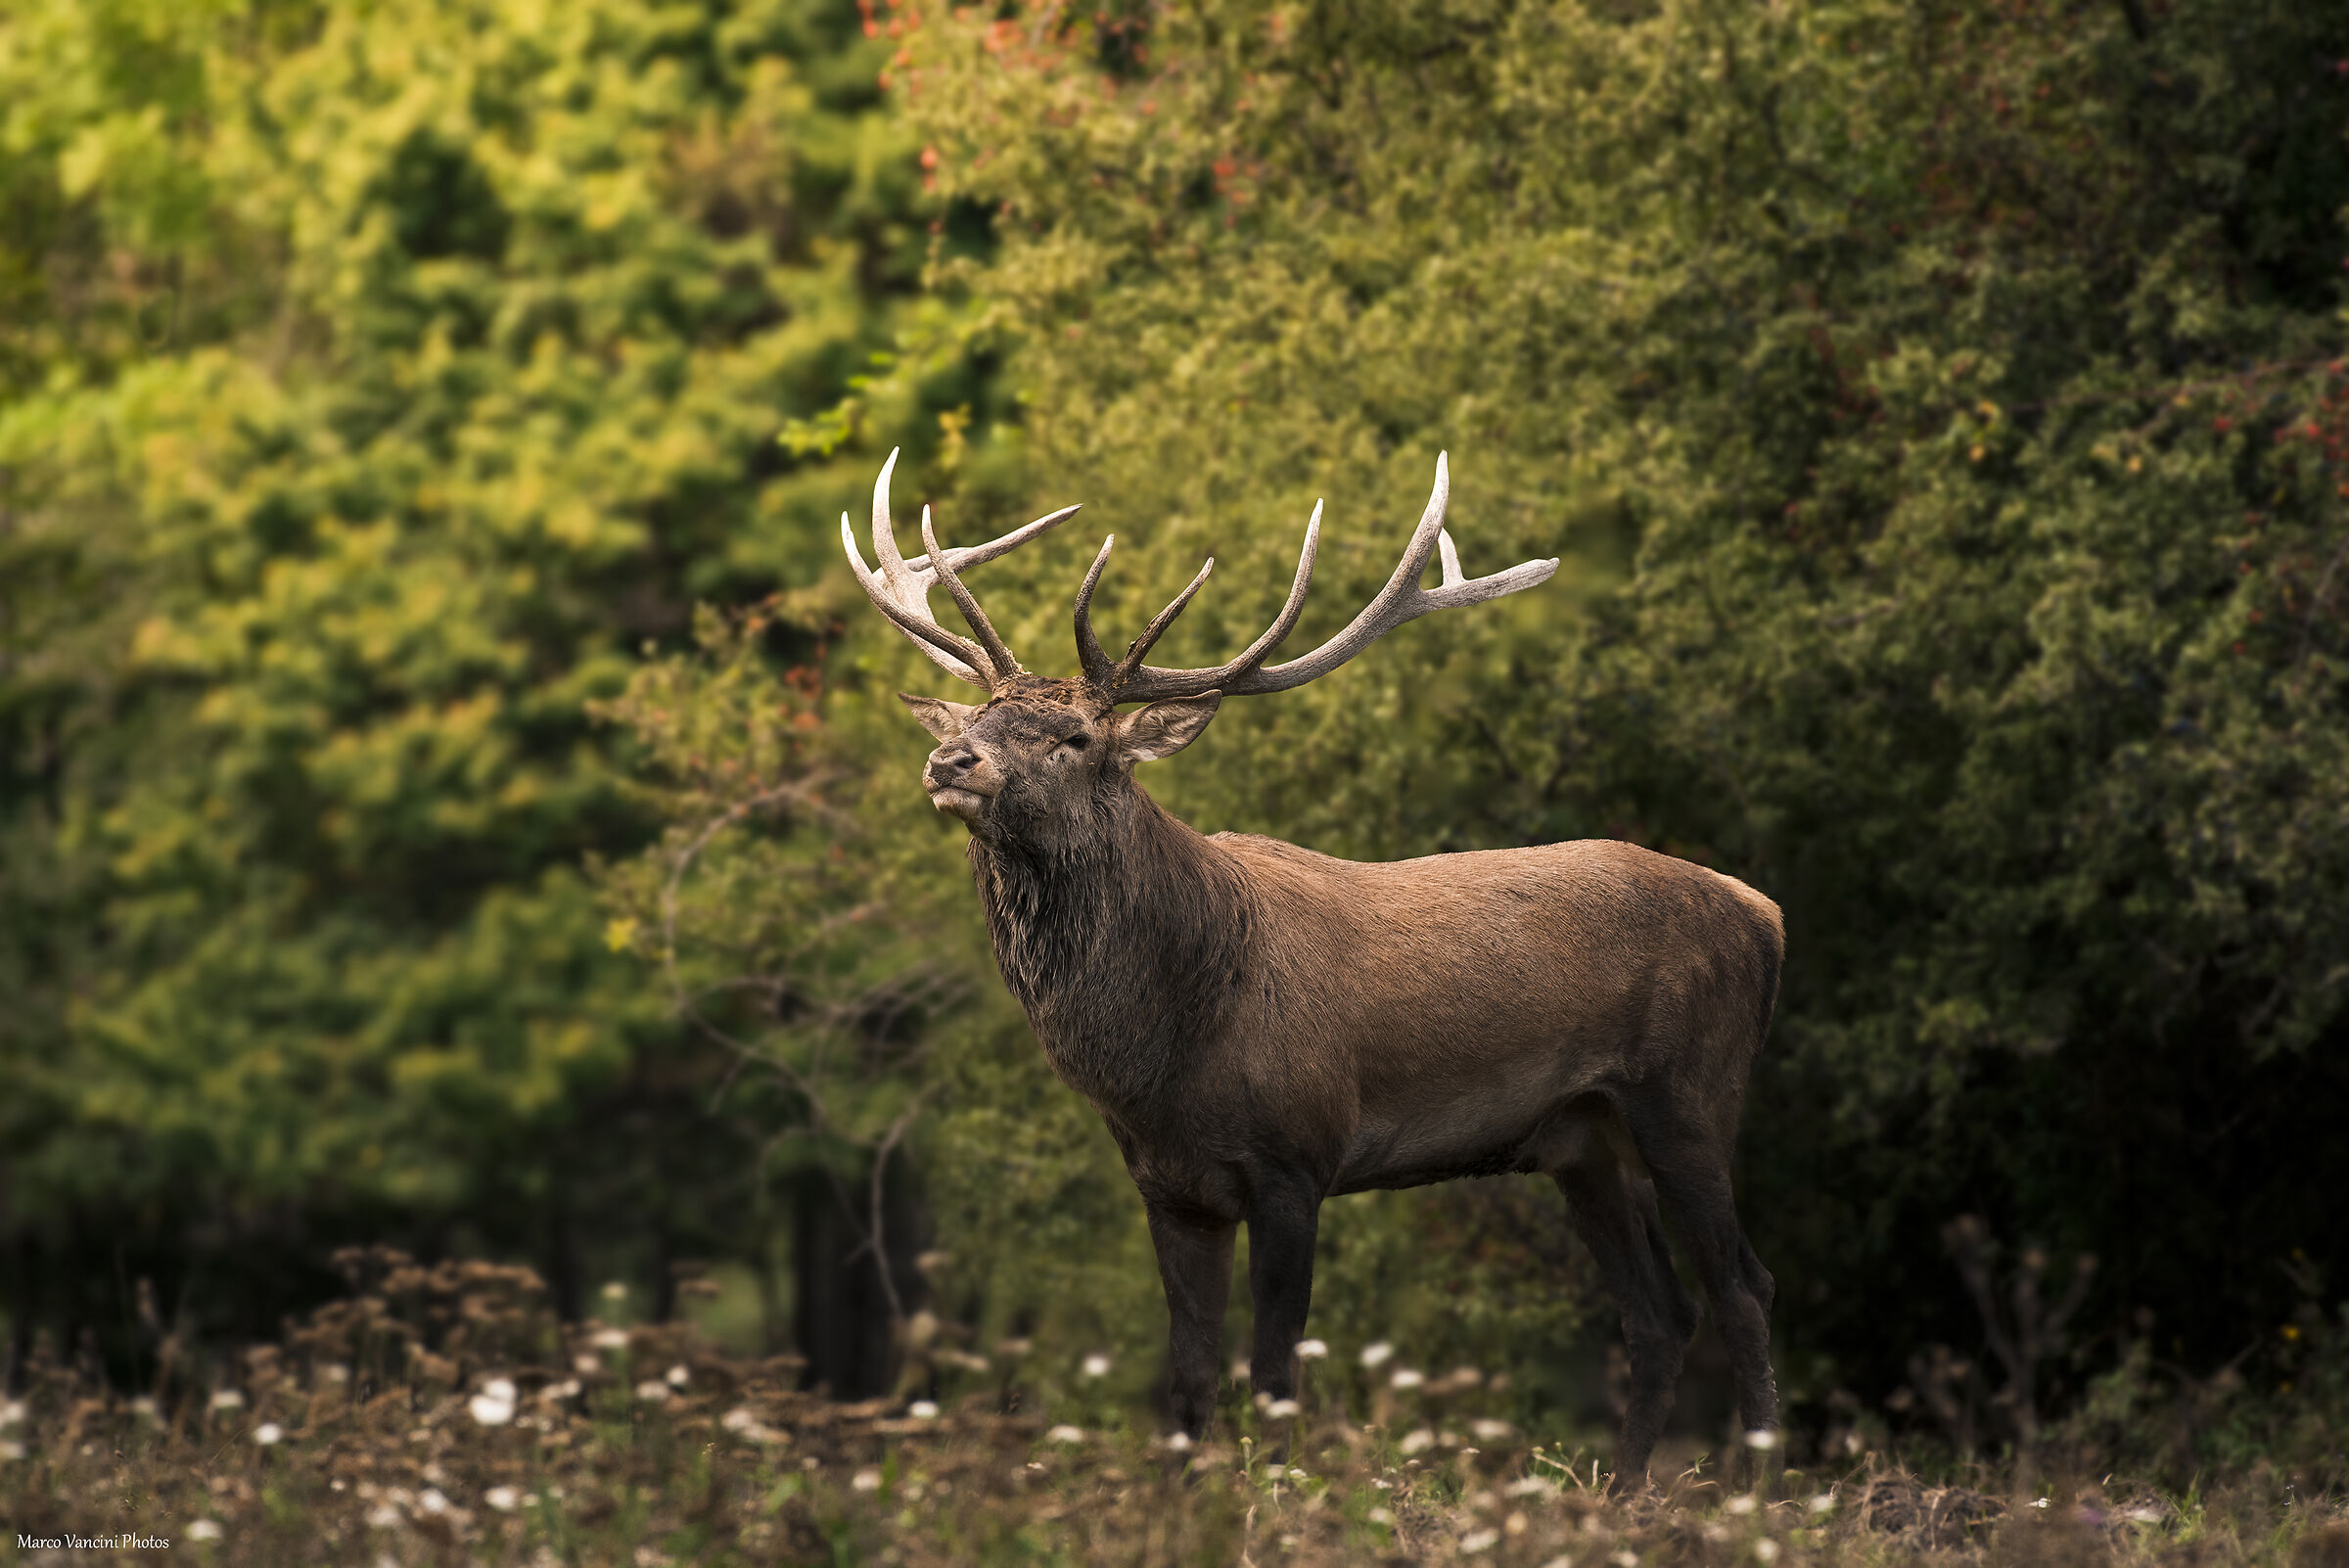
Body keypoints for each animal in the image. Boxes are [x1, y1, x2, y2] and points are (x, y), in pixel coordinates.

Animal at [841, 451, 1782, 1484]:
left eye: (1076, 738)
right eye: (978, 713)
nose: (951, 760)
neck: (1166, 1052)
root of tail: (1763, 912)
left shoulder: (1297, 1157)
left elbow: (1273, 1377)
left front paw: (1274, 1494)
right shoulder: (1170, 1188)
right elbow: (1189, 1386)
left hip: (1688, 1094)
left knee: (1744, 1287)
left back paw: (1765, 1490)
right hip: (1580, 1137)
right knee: (1660, 1312)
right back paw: (1619, 1496)